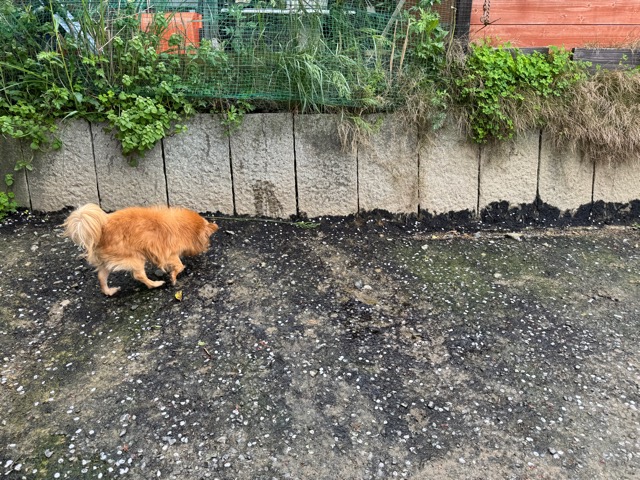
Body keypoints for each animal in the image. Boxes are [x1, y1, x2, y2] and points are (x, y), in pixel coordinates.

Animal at [63, 204, 219, 296]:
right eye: (207, 239)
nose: (207, 247)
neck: (184, 227)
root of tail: (101, 231)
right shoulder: (170, 253)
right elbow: (179, 265)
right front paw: (173, 277)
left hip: (110, 261)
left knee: (101, 276)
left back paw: (109, 291)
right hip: (135, 258)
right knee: (139, 275)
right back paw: (155, 284)